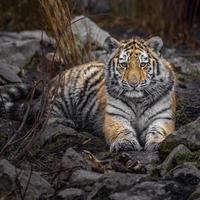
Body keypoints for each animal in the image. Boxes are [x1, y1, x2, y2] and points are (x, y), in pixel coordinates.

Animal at [0, 36, 175, 152]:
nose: (133, 84)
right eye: (124, 65)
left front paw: (158, 143)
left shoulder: (163, 117)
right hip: (62, 96)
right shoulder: (115, 116)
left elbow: (159, 131)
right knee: (43, 118)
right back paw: (65, 122)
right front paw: (125, 143)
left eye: (143, 65)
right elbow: (122, 130)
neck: (137, 100)